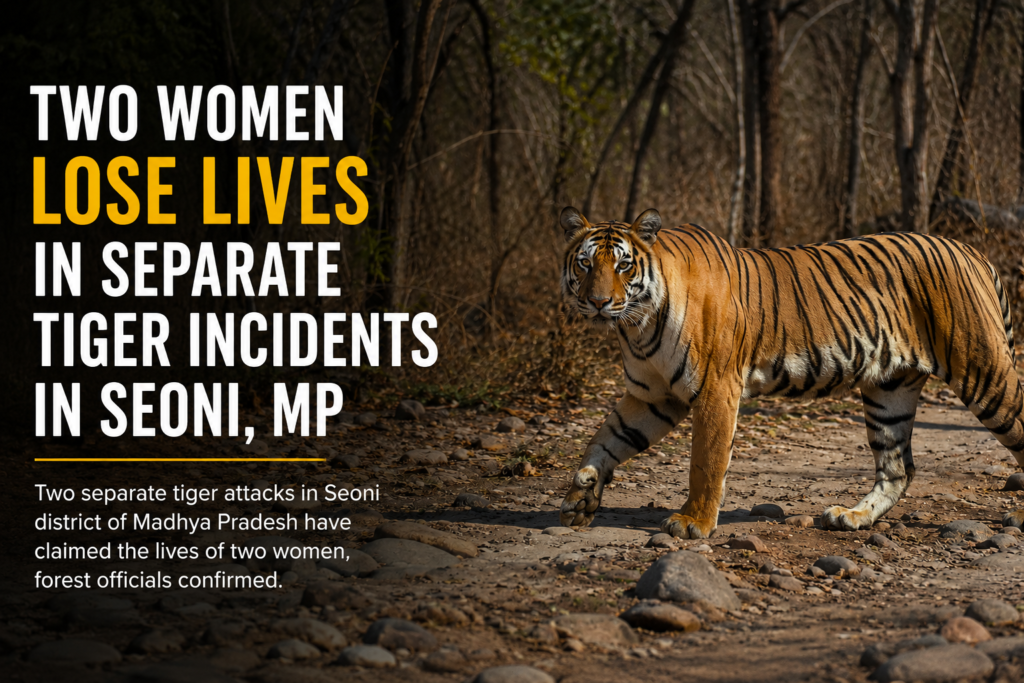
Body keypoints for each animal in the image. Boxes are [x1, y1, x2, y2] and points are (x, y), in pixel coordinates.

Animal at [557, 206, 1024, 538]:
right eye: (585, 264)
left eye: (623, 265)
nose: (598, 302)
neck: (637, 324)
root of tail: (970, 251)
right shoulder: (653, 396)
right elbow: (605, 439)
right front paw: (581, 495)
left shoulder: (714, 390)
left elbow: (705, 462)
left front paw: (693, 523)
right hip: (889, 390)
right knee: (898, 469)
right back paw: (851, 516)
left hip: (985, 374)